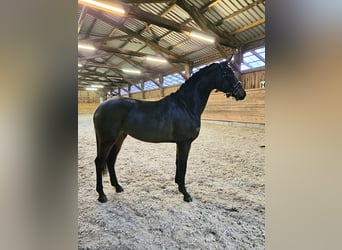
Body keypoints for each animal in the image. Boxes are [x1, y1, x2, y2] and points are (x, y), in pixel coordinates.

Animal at [93, 59, 246, 203]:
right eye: (227, 74)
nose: (242, 94)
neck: (186, 105)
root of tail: (100, 107)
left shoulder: (180, 143)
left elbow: (178, 163)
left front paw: (178, 185)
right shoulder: (185, 142)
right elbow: (183, 165)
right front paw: (185, 194)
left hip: (119, 138)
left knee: (111, 160)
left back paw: (117, 187)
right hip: (107, 140)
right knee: (99, 162)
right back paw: (101, 195)